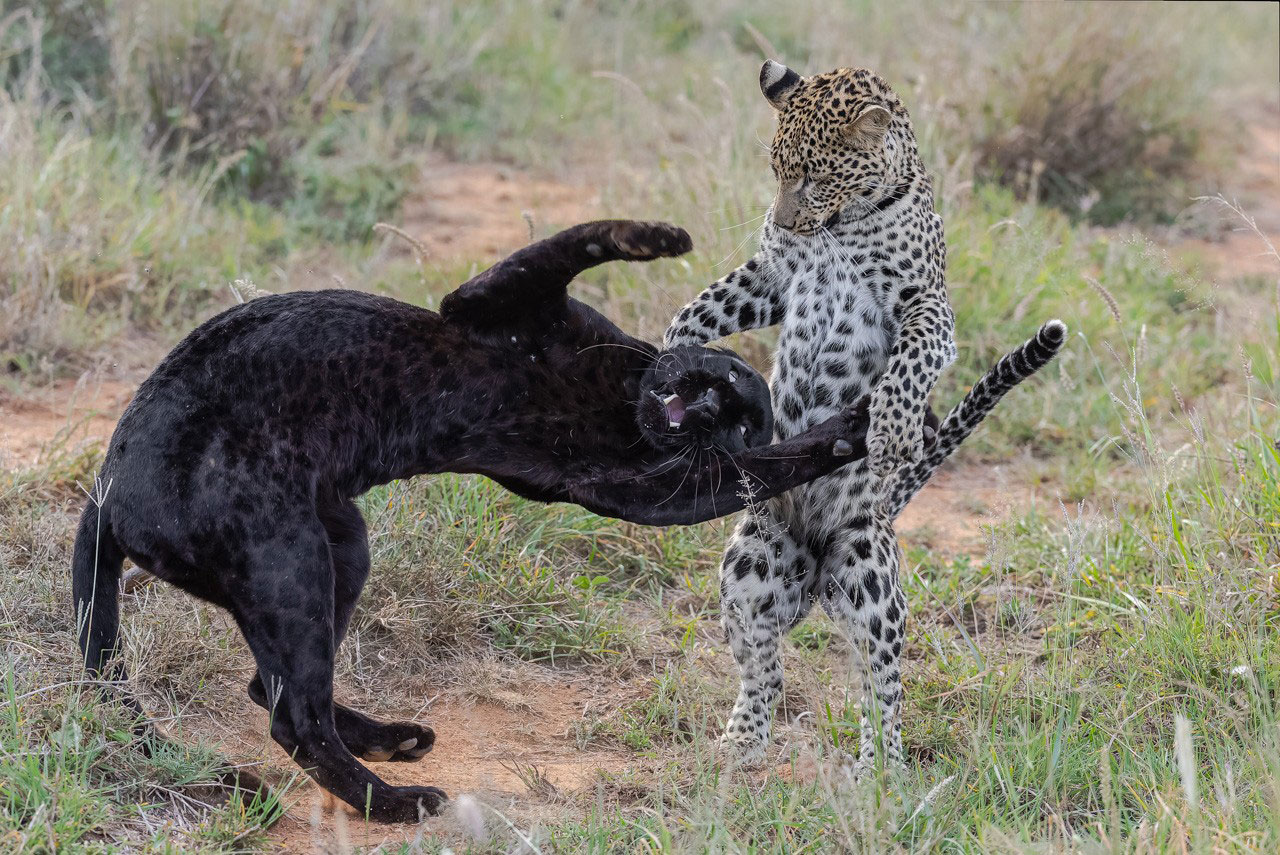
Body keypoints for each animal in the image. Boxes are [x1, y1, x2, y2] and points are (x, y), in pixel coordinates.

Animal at [664, 60, 967, 774]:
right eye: (776, 170)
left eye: (816, 176)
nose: (785, 220)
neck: (844, 224)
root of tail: (812, 572)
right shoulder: (771, 277)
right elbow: (706, 304)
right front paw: (672, 353)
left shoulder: (927, 303)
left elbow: (912, 357)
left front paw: (892, 427)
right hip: (750, 562)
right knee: (764, 668)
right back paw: (743, 742)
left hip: (868, 573)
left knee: (880, 683)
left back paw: (881, 767)